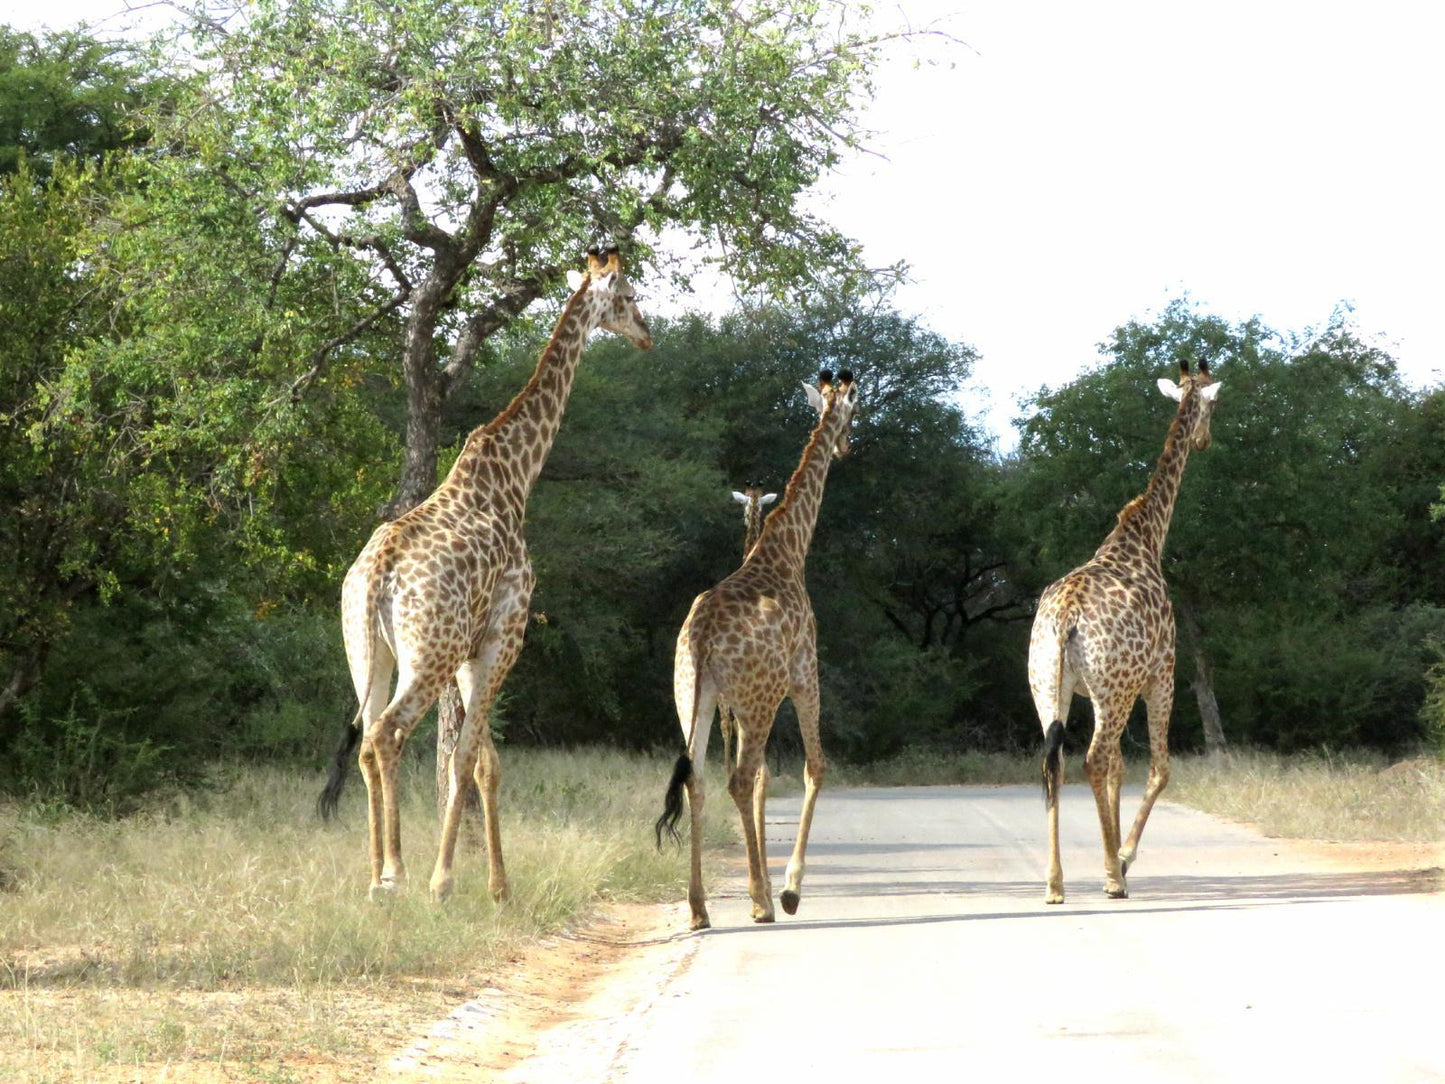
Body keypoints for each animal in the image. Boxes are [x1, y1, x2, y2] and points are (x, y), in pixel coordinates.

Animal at [658, 370, 855, 930]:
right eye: (854, 411)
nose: (847, 447)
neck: (788, 548)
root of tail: (701, 634)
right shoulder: (804, 673)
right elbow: (815, 767)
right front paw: (789, 890)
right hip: (755, 699)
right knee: (742, 779)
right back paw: (760, 902)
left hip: (693, 696)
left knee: (699, 779)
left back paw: (699, 908)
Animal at [1028, 358, 1219, 907]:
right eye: (1214, 404)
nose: (1205, 440)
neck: (1146, 538)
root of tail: (1065, 617)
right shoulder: (1160, 674)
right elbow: (1157, 769)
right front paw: (1125, 858)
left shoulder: (1109, 689)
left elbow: (1119, 768)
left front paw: (1114, 855)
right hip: (1112, 689)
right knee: (1092, 760)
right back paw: (1112, 876)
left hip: (1049, 685)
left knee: (1055, 762)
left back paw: (1055, 884)